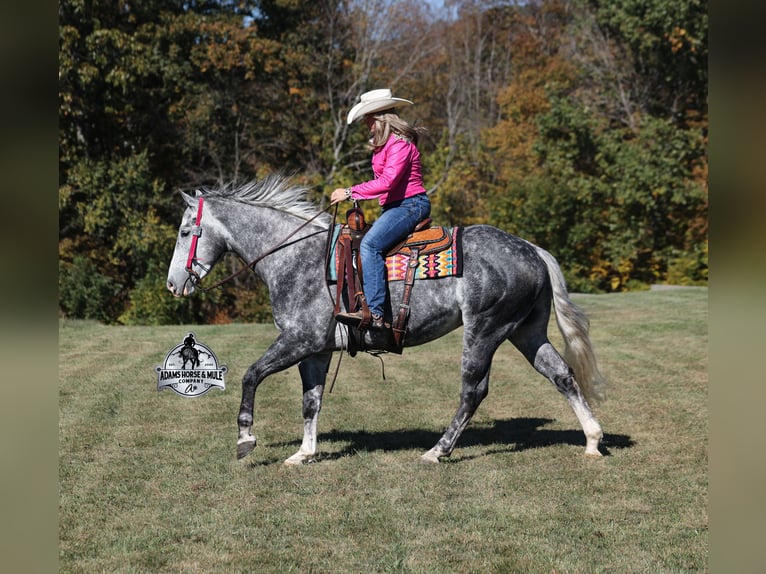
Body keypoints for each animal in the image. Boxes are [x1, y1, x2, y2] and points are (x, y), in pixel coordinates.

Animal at [165, 175, 606, 465]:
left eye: (186, 231)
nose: (172, 284)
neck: (294, 258)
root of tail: (532, 249)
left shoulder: (298, 339)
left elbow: (251, 375)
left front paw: (245, 438)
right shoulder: (316, 349)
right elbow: (311, 400)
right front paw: (304, 453)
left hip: (485, 331)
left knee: (473, 391)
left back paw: (437, 451)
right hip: (527, 331)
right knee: (562, 375)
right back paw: (592, 440)